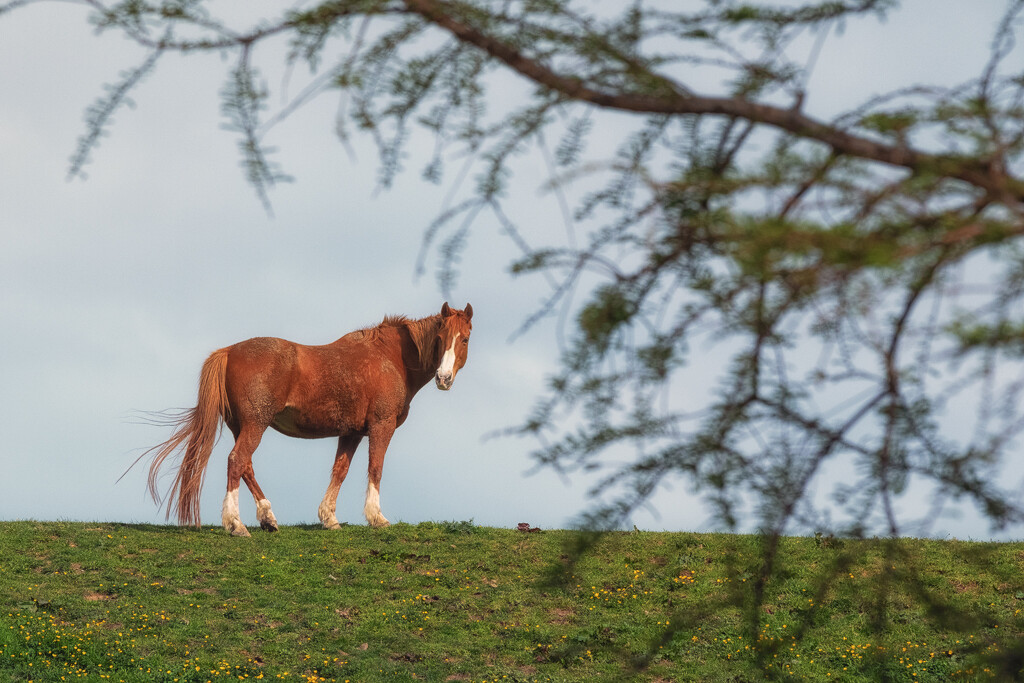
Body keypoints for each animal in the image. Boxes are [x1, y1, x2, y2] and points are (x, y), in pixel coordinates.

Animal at [142, 301, 473, 536]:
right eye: (440, 337)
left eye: (465, 339)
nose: (443, 378)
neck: (392, 359)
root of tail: (229, 351)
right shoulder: (382, 426)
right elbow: (375, 469)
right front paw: (376, 517)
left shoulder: (351, 432)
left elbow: (340, 470)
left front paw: (329, 518)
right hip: (255, 425)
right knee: (237, 461)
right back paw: (236, 524)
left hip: (243, 426)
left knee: (246, 466)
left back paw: (268, 518)